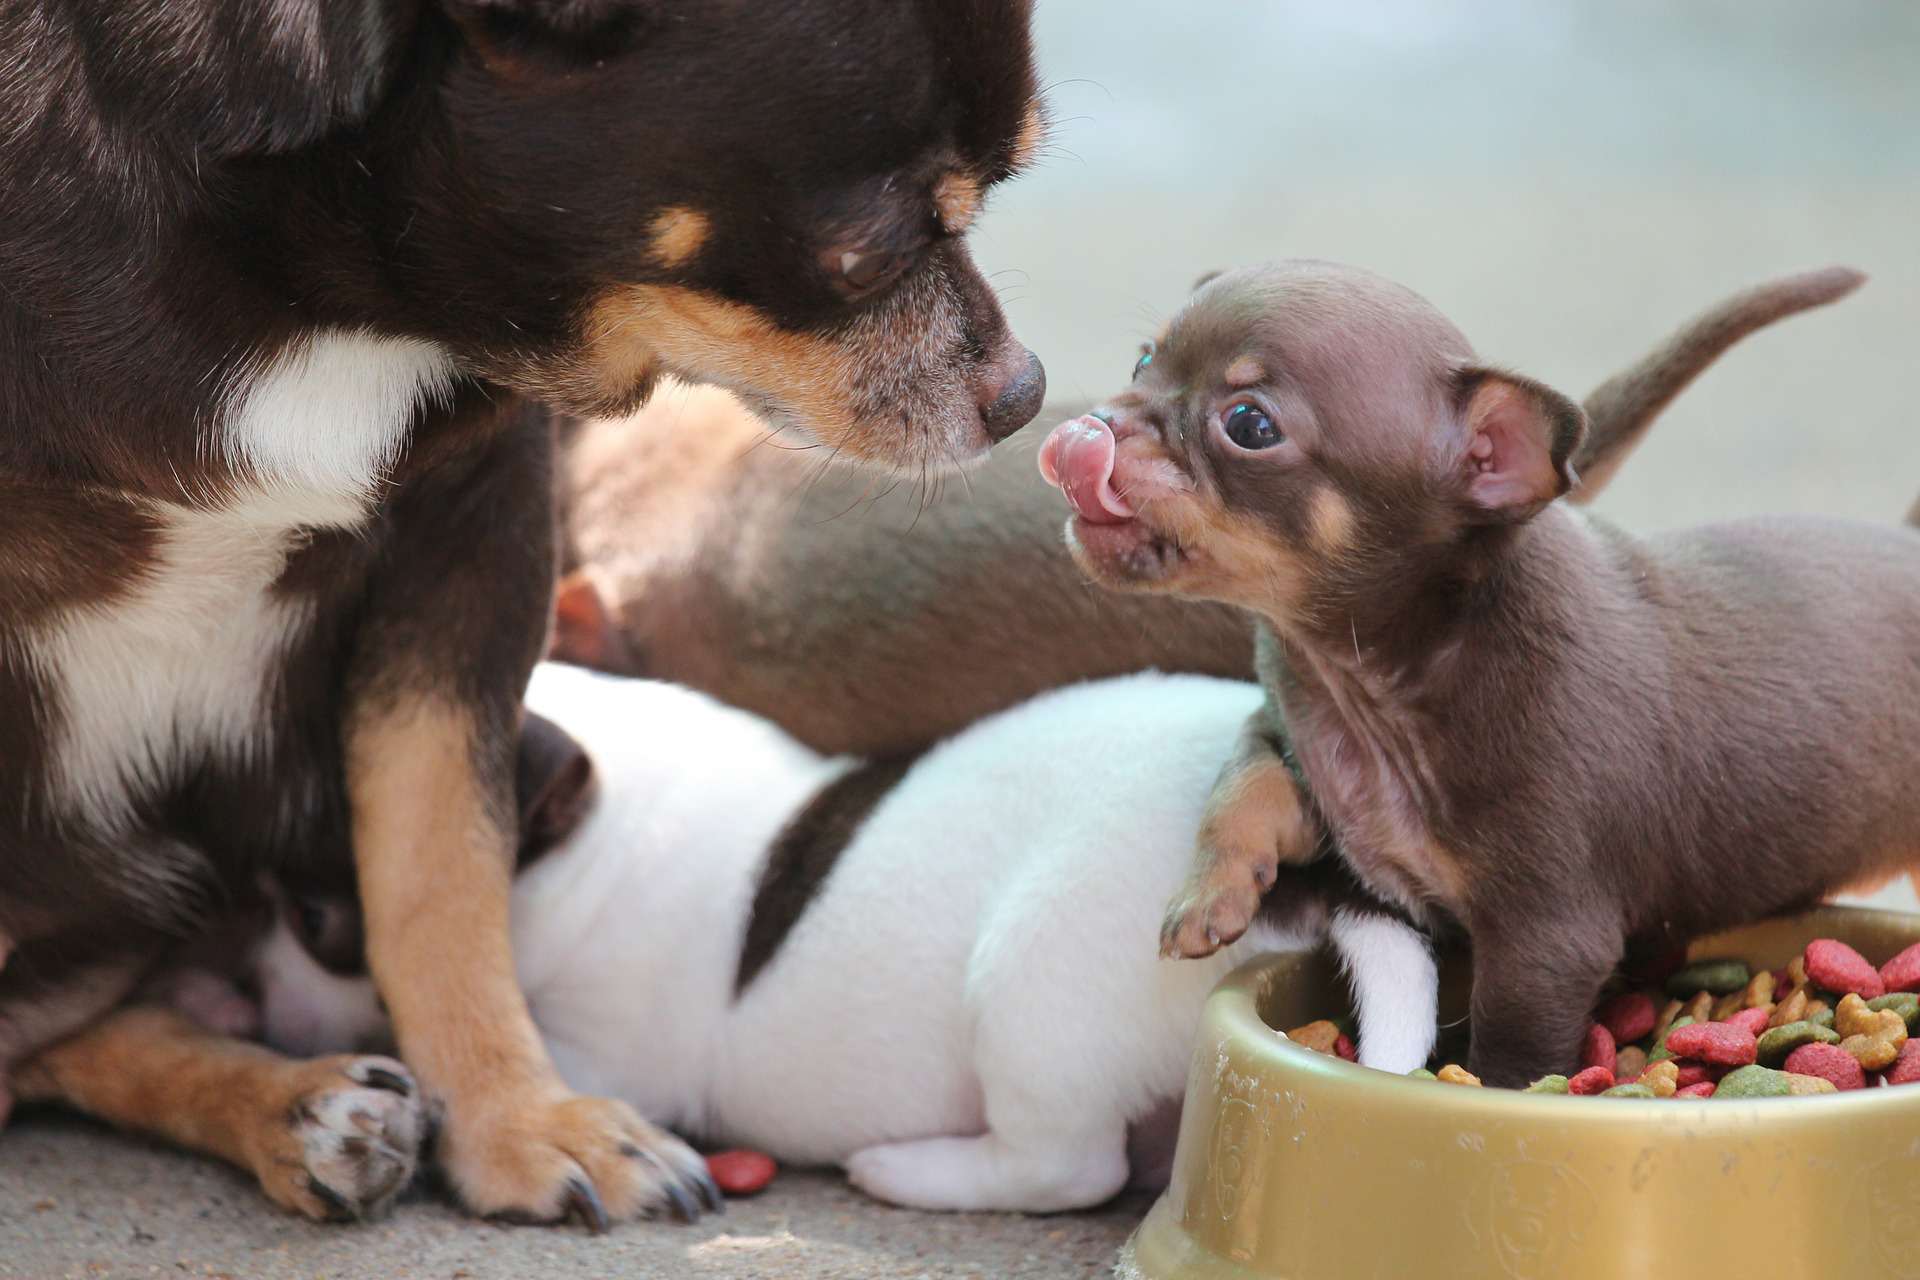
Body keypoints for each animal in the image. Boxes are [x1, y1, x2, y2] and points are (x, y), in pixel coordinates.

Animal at [3, 0, 1052, 1228]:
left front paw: (517, 1121)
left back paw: (304, 1109)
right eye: (871, 254)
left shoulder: (478, 530)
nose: (1026, 392)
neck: (329, 295)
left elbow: (441, 870)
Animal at [247, 667, 1436, 1220]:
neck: (599, 820)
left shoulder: (610, 1051)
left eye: (318, 919)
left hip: (1037, 982)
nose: (245, 1004)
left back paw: (908, 1168)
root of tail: (1308, 857)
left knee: (1065, 1163)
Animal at [1044, 264, 1896, 1090]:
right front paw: (1208, 894)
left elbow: (1513, 1048)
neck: (1367, 678)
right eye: (1143, 362)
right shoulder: (1291, 741)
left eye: (1250, 426)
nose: (1087, 430)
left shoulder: (1546, 936)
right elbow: (1243, 786)